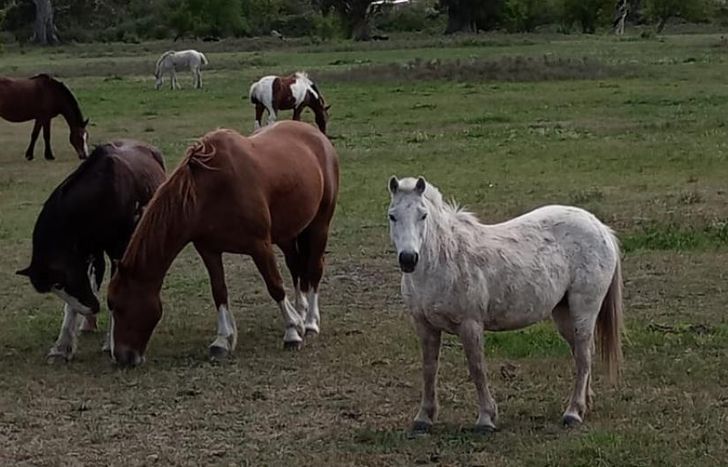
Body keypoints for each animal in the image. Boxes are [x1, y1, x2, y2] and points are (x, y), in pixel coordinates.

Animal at [16, 141, 166, 363]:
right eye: (55, 288)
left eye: (59, 282)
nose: (93, 307)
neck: (104, 192)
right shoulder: (86, 253)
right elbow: (73, 303)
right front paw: (63, 346)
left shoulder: (119, 251)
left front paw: (110, 342)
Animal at [107, 121, 340, 367]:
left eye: (120, 306)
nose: (122, 357)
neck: (209, 191)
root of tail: (316, 134)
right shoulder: (209, 250)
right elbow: (219, 291)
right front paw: (222, 341)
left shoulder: (260, 246)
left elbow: (275, 285)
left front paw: (292, 332)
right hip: (287, 234)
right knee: (296, 267)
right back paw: (301, 311)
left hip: (319, 225)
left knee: (314, 269)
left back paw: (310, 322)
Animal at [387, 176, 624, 434]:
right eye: (392, 216)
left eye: (423, 215)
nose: (408, 259)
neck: (444, 258)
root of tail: (600, 227)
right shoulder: (424, 325)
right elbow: (429, 369)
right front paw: (423, 418)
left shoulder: (470, 324)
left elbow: (477, 368)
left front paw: (485, 419)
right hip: (563, 312)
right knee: (584, 353)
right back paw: (584, 404)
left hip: (584, 309)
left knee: (582, 356)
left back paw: (572, 413)